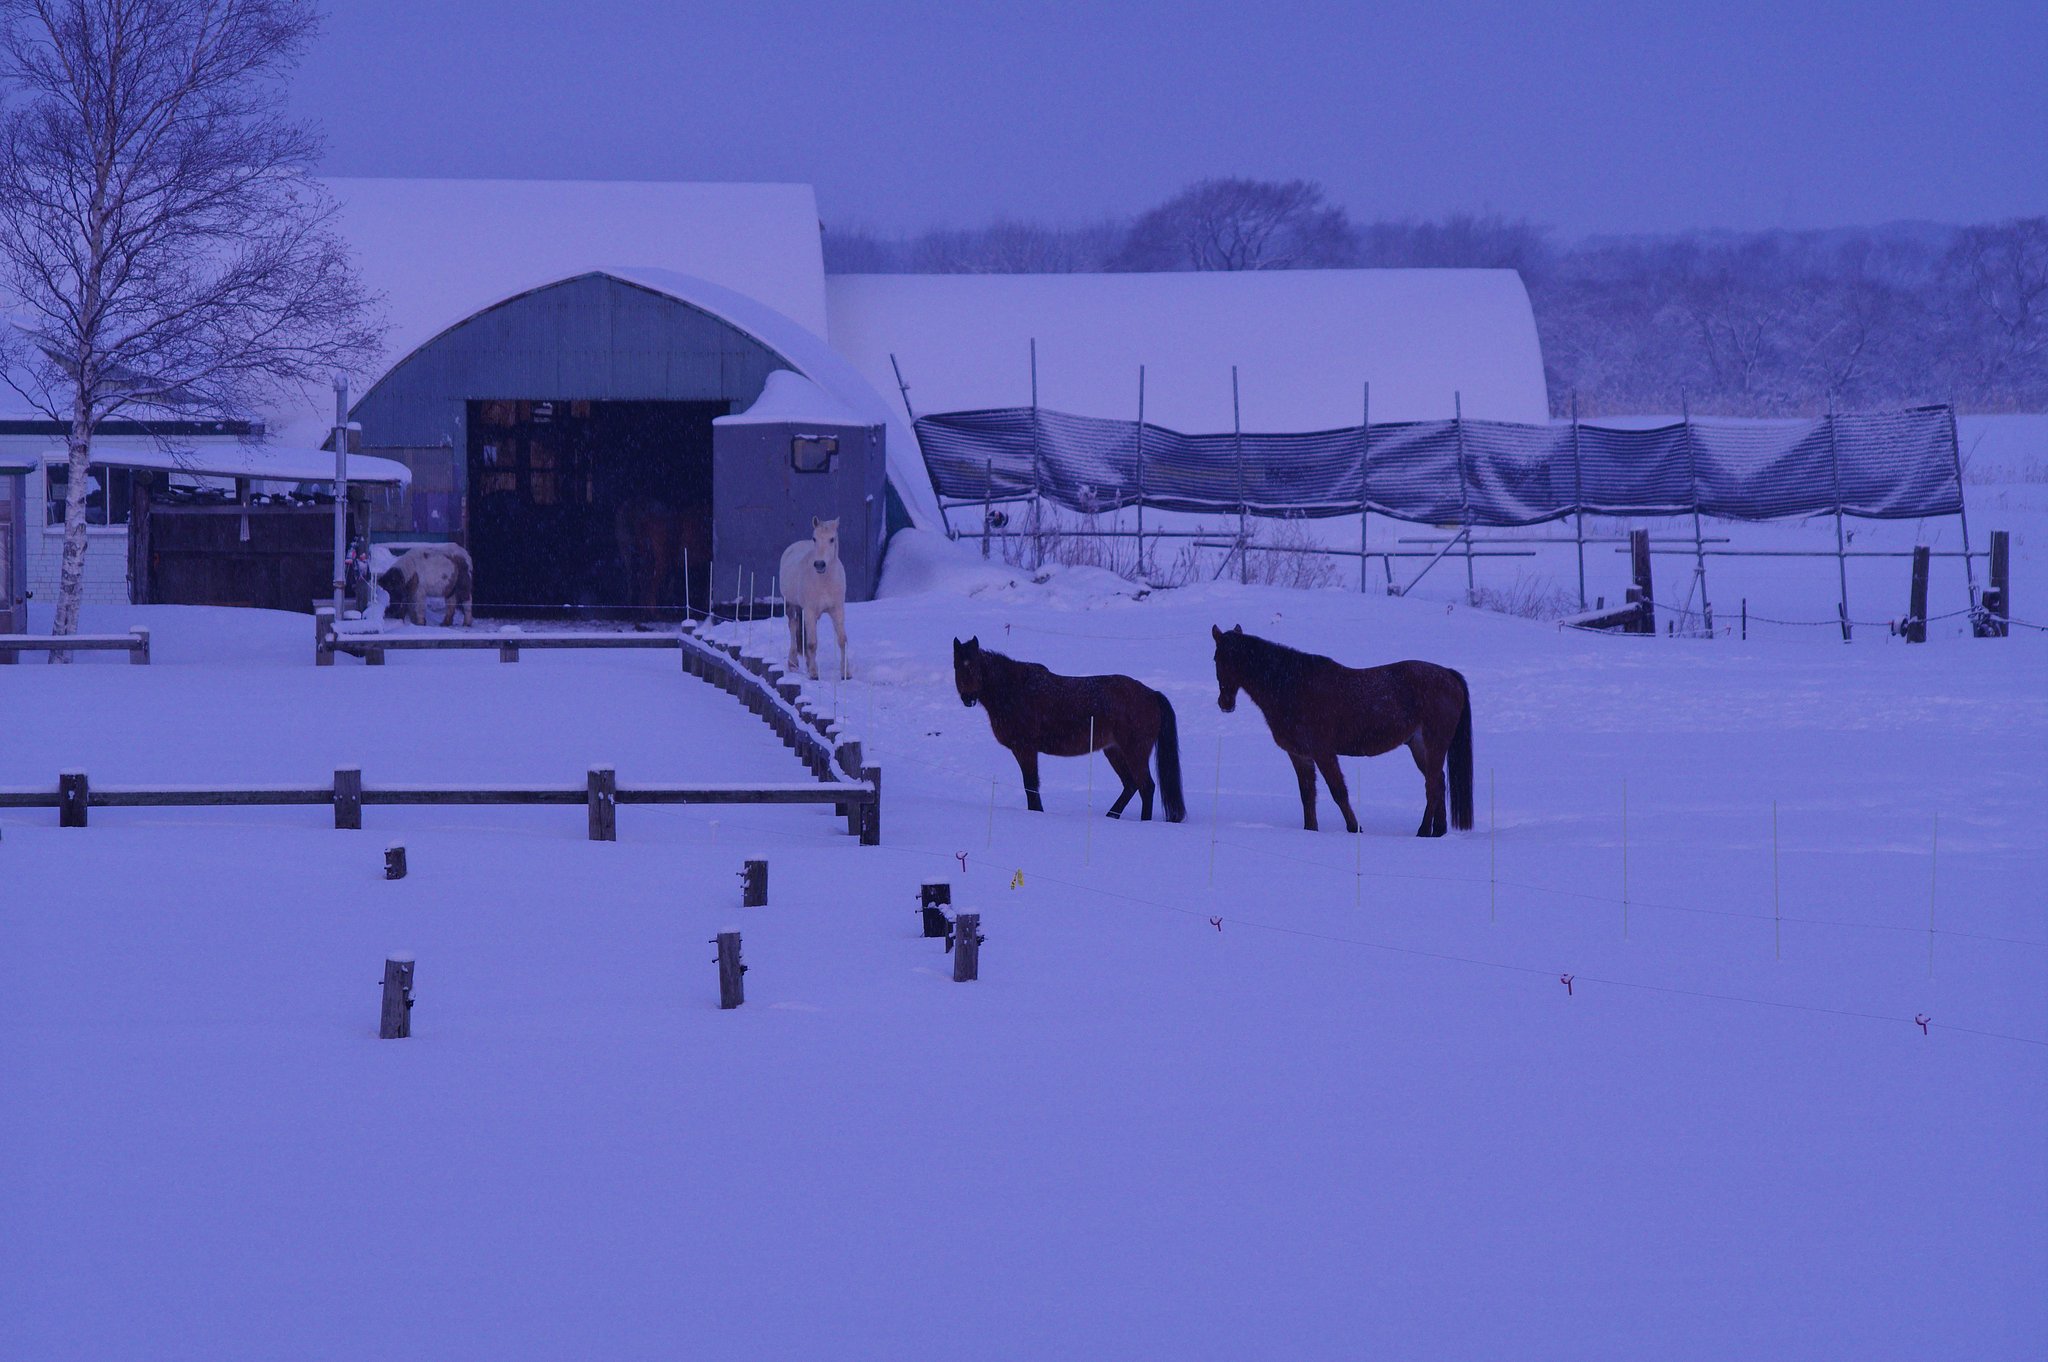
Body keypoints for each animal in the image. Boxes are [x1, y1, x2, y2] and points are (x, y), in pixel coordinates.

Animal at [779, 516, 849, 680]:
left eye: (832, 539)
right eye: (814, 538)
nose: (819, 564)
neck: (824, 582)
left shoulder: (837, 610)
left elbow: (842, 640)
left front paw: (846, 673)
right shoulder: (810, 611)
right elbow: (812, 643)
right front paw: (813, 673)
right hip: (791, 605)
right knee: (793, 626)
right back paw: (793, 663)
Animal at [953, 636, 1186, 823]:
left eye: (974, 667)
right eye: (957, 667)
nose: (968, 698)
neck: (1015, 690)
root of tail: (1151, 694)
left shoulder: (1026, 749)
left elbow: (1031, 785)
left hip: (1134, 752)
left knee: (1146, 787)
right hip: (1115, 751)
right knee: (1131, 785)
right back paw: (1111, 816)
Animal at [1211, 624, 1471, 837]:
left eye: (1226, 658)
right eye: (1217, 658)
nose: (1225, 702)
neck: (1292, 685)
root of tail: (1448, 675)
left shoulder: (1323, 752)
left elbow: (1338, 792)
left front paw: (1354, 828)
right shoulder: (1300, 755)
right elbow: (1308, 795)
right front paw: (1310, 830)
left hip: (1434, 744)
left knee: (1433, 786)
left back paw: (1423, 831)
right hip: (1419, 746)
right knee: (1438, 782)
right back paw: (1438, 832)